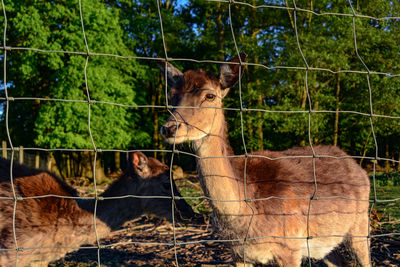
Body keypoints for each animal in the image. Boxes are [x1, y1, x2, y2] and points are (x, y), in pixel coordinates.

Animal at [159, 53, 372, 266]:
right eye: (170, 96)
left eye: (210, 95)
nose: (169, 128)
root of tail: (359, 167)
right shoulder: (237, 253)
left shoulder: (290, 247)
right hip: (325, 242)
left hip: (360, 223)